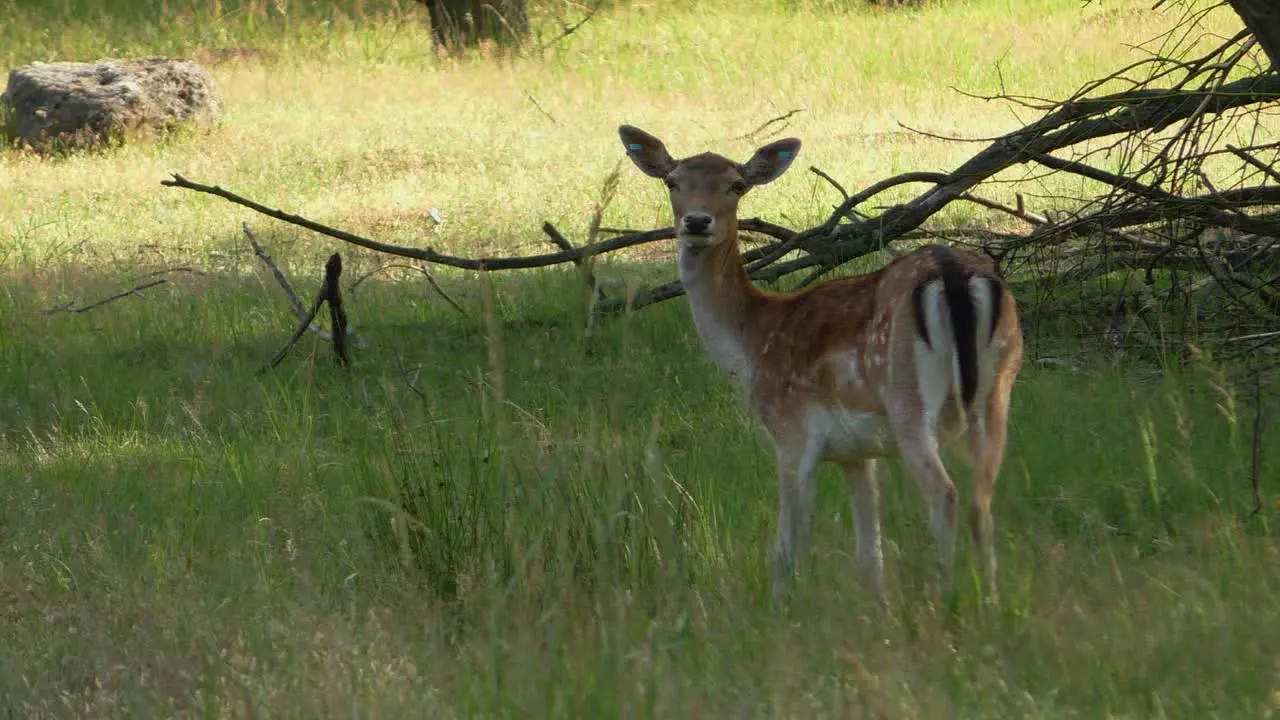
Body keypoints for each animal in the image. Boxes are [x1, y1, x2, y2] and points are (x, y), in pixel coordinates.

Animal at [614, 124, 1024, 604]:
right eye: (672, 182)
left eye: (737, 185)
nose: (696, 222)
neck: (753, 344)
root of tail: (953, 271)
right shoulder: (855, 452)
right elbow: (870, 557)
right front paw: (880, 611)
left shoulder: (792, 434)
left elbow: (784, 552)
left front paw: (777, 610)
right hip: (999, 387)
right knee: (982, 499)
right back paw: (989, 604)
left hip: (906, 393)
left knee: (945, 495)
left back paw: (944, 601)